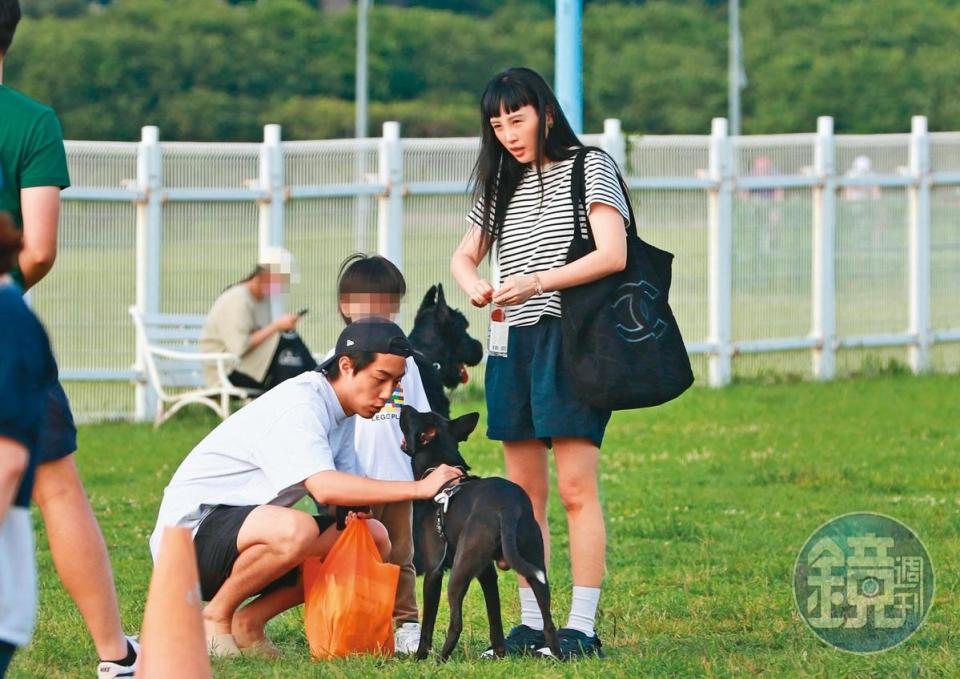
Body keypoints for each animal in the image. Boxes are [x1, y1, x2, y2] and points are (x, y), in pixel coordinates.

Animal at [398, 406, 564, 660]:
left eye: (410, 418)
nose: (403, 407)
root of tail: (508, 508)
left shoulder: (434, 572)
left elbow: (428, 623)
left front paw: (420, 656)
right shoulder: (487, 573)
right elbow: (495, 619)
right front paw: (500, 655)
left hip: (458, 573)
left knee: (456, 623)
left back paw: (440, 659)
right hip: (536, 566)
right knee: (548, 622)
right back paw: (559, 656)